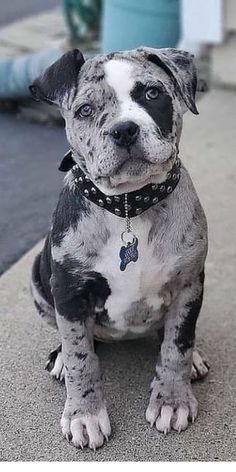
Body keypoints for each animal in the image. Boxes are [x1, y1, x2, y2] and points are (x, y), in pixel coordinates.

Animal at [30, 48, 209, 450]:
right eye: (84, 110)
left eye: (152, 94)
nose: (124, 129)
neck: (130, 206)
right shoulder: (69, 292)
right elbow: (81, 356)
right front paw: (84, 414)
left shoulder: (189, 284)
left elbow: (178, 342)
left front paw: (172, 399)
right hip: (38, 280)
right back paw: (60, 358)